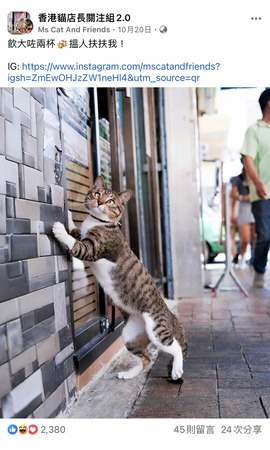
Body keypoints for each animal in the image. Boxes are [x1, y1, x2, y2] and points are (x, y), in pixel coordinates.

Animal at [53, 176, 188, 384]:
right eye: (97, 193)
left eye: (110, 201)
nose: (100, 202)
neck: (96, 222)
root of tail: (169, 313)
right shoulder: (84, 235)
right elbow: (76, 231)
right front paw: (67, 216)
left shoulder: (92, 249)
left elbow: (75, 243)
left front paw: (60, 229)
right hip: (131, 335)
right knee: (146, 359)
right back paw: (129, 373)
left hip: (156, 328)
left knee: (174, 347)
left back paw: (177, 369)